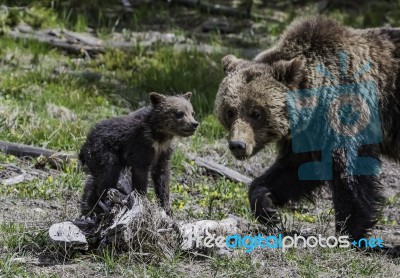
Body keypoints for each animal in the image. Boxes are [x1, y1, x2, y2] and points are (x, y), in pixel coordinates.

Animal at [217, 16, 400, 240]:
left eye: (256, 113)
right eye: (230, 111)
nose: (238, 145)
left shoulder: (345, 113)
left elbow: (350, 170)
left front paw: (349, 230)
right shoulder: (307, 135)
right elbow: (295, 169)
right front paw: (266, 206)